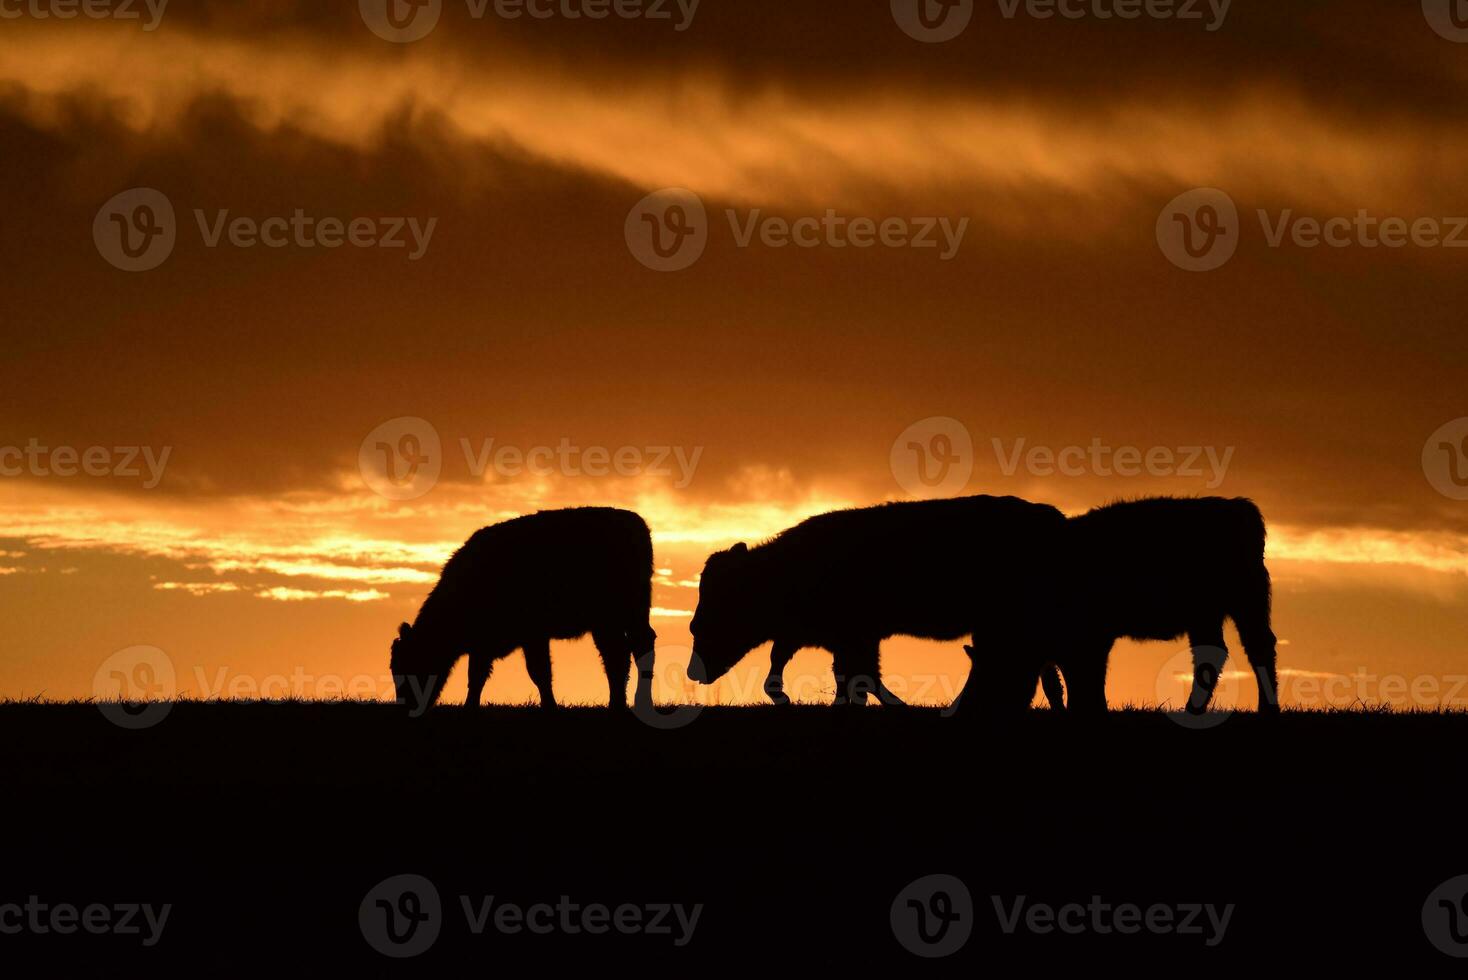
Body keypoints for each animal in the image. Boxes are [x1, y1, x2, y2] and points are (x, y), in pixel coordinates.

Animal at [396, 504, 660, 712]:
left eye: (410, 664)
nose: (406, 705)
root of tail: (636, 524)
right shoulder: (486, 644)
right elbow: (478, 676)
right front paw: (470, 706)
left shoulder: (532, 635)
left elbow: (538, 671)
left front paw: (550, 706)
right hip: (610, 622)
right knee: (621, 653)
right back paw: (619, 704)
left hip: (622, 616)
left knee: (630, 651)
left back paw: (632, 704)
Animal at [687, 498, 1068, 704]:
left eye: (700, 623)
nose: (693, 672)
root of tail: (1053, 516)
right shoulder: (829, 638)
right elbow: (839, 675)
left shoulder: (855, 637)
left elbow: (861, 678)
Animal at [974, 492, 1285, 715]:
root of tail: (1238, 507)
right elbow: (1061, 679)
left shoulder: (1089, 639)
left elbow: (1083, 677)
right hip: (1206, 616)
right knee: (1212, 653)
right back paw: (1192, 710)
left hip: (1245, 604)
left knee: (1258, 647)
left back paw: (1266, 709)